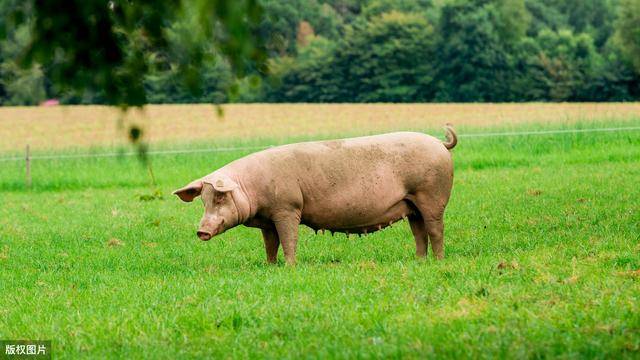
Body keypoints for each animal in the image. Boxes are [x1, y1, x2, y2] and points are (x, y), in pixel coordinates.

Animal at [172, 126, 458, 264]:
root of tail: (439, 143)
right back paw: (419, 261)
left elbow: (289, 239)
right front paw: (270, 265)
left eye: (220, 197)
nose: (201, 231)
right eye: (203, 200)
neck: (251, 187)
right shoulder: (267, 221)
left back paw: (438, 261)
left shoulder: (287, 207)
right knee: (419, 232)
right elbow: (270, 244)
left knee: (435, 229)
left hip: (431, 195)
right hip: (411, 204)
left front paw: (290, 266)